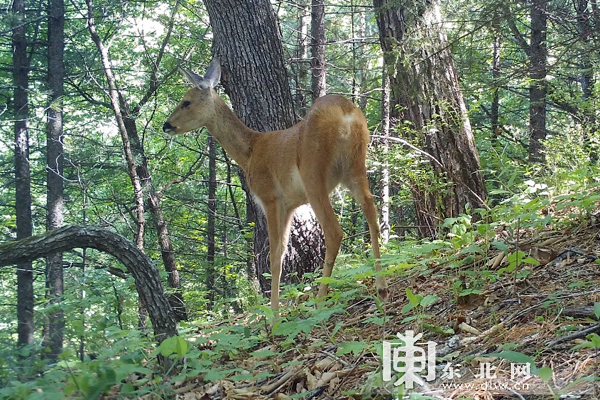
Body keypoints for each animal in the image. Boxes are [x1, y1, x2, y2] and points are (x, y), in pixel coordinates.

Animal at [164, 58, 390, 312]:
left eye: (186, 101)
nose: (166, 125)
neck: (250, 152)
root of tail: (346, 113)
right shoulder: (290, 204)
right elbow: (282, 253)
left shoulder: (270, 197)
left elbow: (273, 257)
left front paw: (274, 313)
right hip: (355, 167)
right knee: (372, 212)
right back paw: (381, 287)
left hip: (313, 173)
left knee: (334, 231)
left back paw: (321, 299)